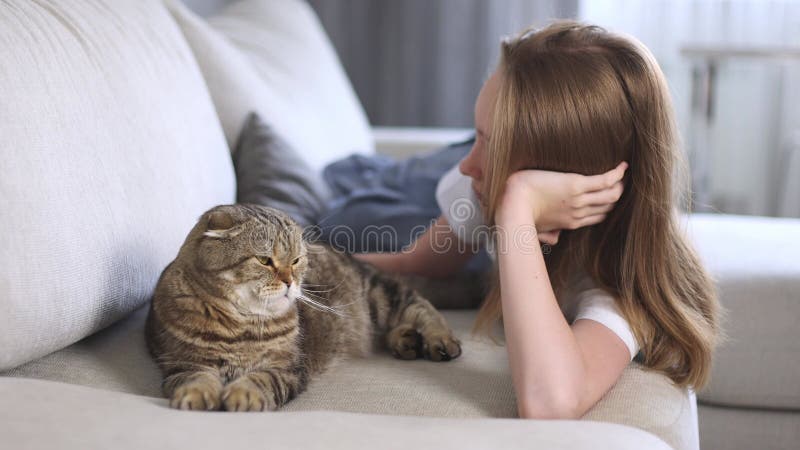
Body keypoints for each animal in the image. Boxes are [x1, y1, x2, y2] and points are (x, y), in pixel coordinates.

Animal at [145, 204, 462, 412]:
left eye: (296, 260)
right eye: (264, 260)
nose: (290, 281)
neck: (242, 325)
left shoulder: (288, 368)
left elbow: (261, 379)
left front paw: (243, 394)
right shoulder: (181, 363)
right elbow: (195, 377)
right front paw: (196, 393)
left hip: (381, 295)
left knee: (420, 306)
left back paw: (438, 340)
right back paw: (406, 340)